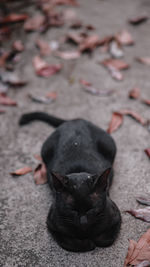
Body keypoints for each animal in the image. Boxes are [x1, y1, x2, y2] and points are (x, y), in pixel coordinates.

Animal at [19, 112, 121, 252]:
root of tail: (74, 120)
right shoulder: (52, 224)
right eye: (72, 209)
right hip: (45, 150)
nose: (83, 222)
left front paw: (94, 239)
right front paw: (87, 243)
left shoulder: (116, 217)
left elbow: (105, 239)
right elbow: (70, 242)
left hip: (110, 146)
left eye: (92, 209)